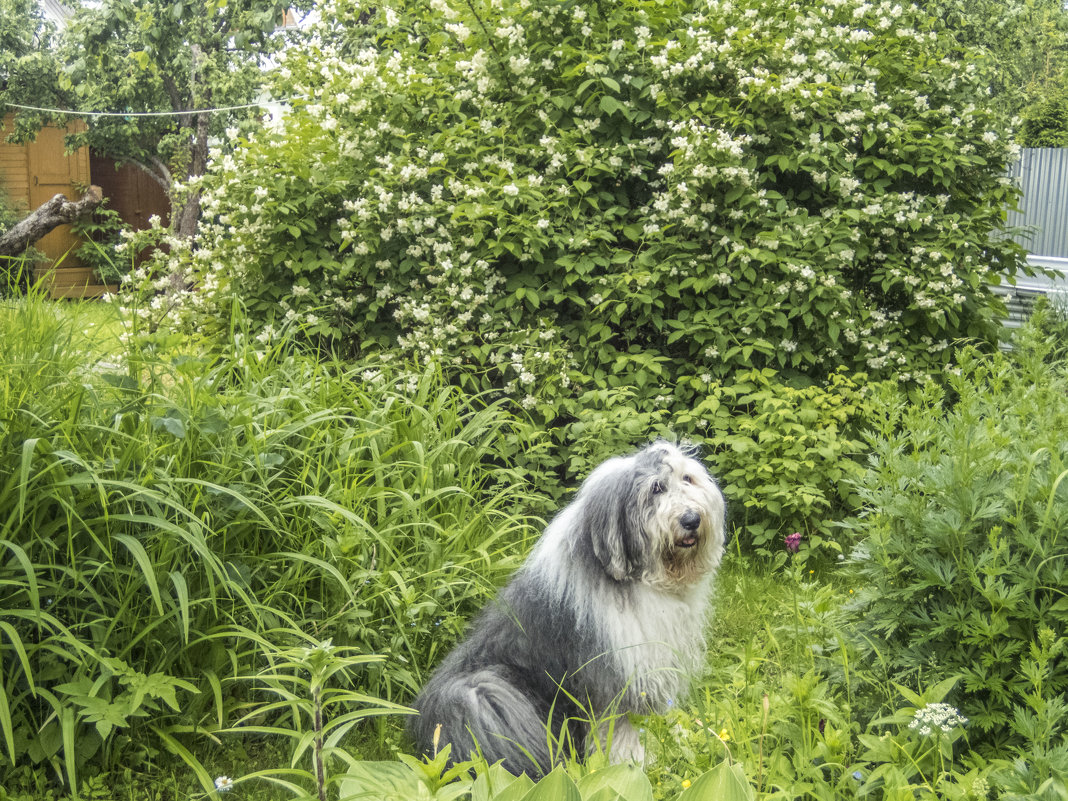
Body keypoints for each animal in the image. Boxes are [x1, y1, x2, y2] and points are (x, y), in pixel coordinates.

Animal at [407, 442, 726, 781]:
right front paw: (629, 764)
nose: (691, 519)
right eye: (656, 488)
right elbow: (617, 726)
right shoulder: (607, 676)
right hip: (479, 694)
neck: (642, 580)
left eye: (687, 478)